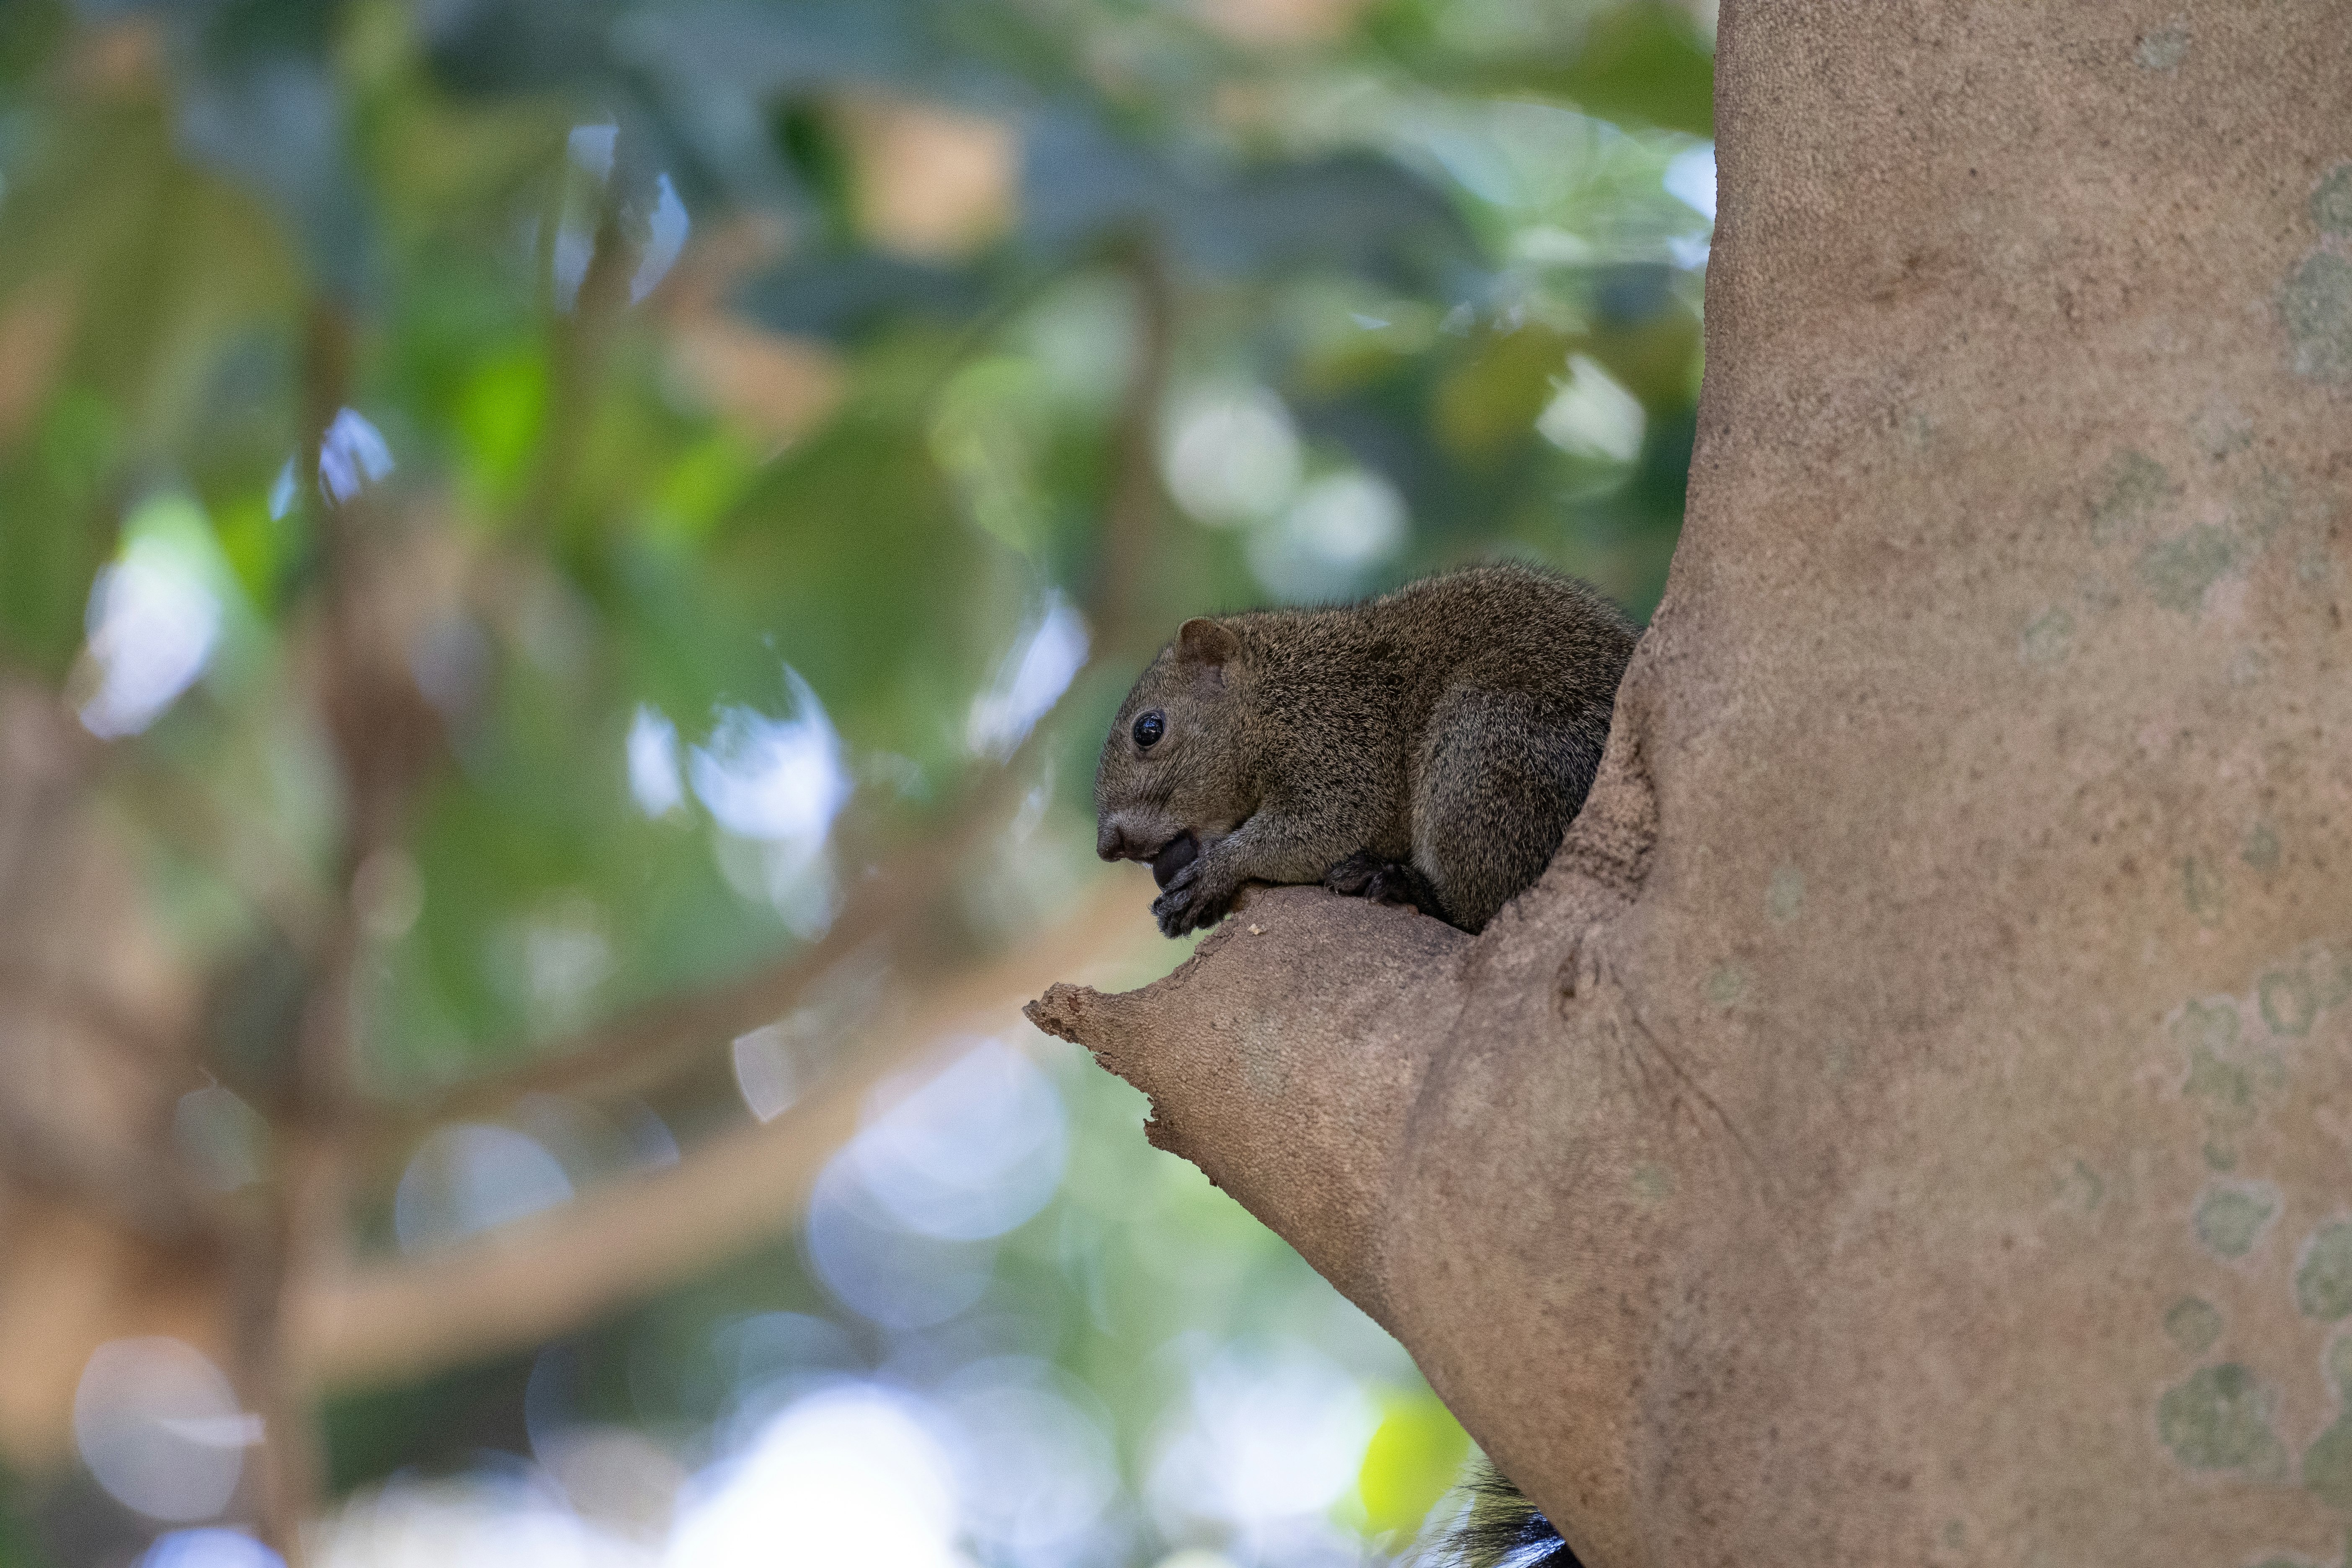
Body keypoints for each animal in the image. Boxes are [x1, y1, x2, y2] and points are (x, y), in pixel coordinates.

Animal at [1093, 560, 1638, 1568]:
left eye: (1151, 729)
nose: (1110, 844)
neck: (1275, 690)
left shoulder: (1341, 745)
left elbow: (1310, 827)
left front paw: (1214, 873)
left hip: (1483, 757)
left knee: (1482, 903)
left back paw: (1399, 883)